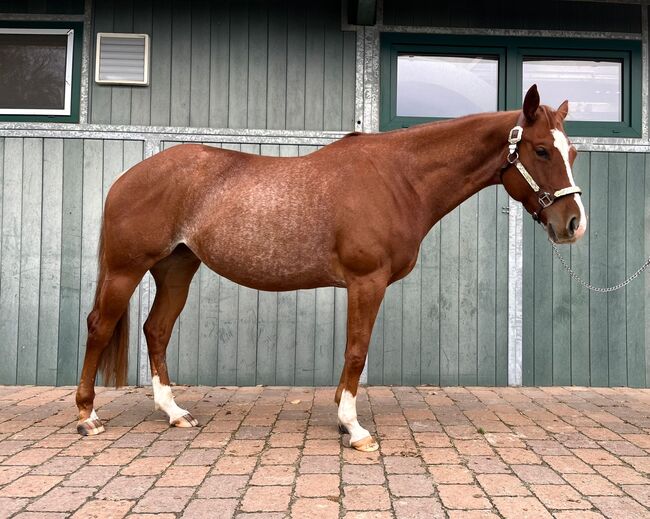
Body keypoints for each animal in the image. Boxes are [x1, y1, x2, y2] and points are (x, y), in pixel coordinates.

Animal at [74, 85, 584, 450]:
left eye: (573, 153)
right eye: (541, 150)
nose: (573, 224)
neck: (398, 178)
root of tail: (127, 178)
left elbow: (352, 353)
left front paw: (342, 417)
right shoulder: (367, 281)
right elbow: (356, 350)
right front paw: (354, 429)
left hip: (177, 268)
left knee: (156, 330)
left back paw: (175, 413)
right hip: (127, 269)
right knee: (100, 325)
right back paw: (87, 416)